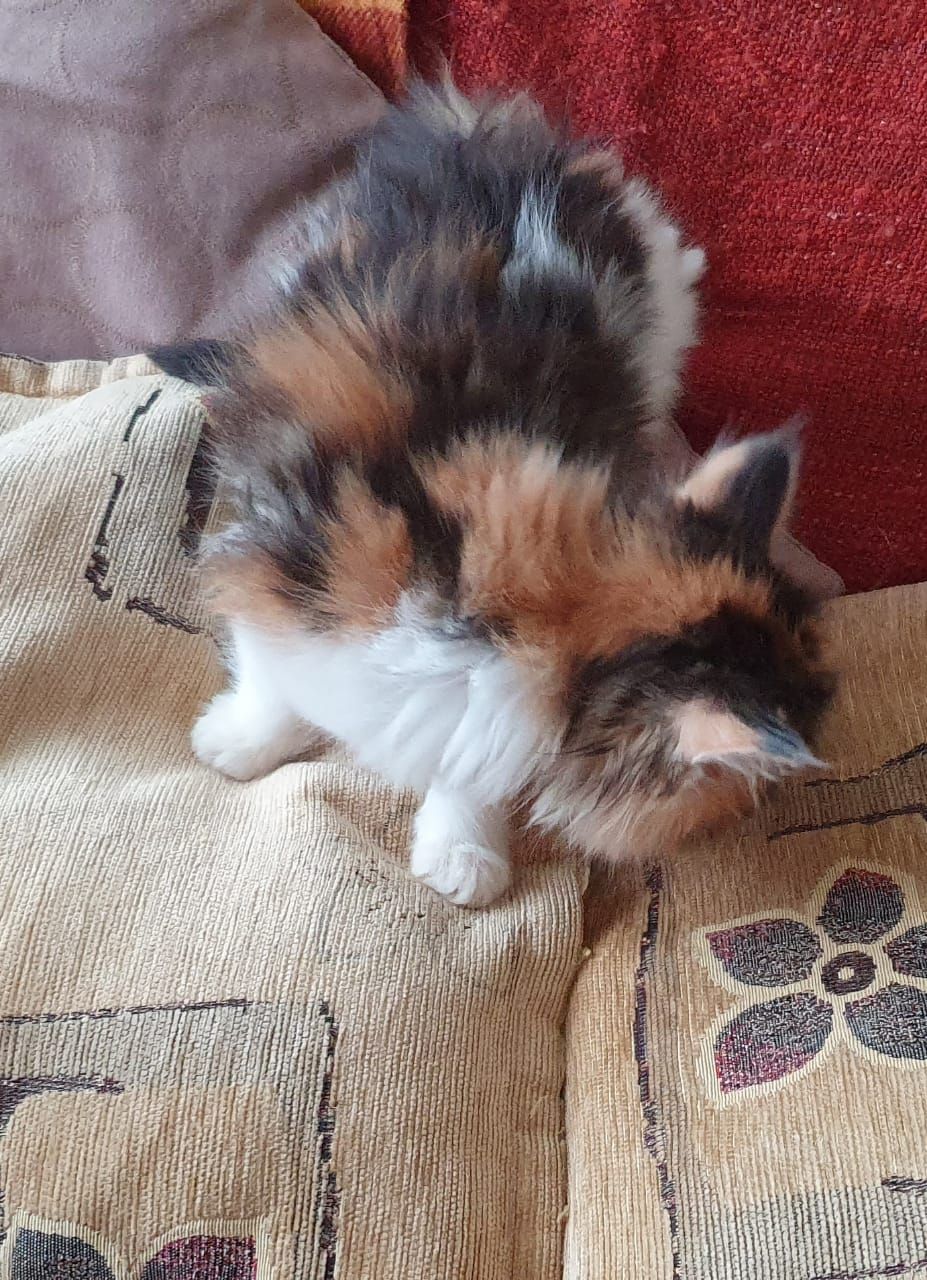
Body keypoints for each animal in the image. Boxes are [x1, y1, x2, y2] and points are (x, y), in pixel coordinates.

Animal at [153, 79, 834, 907]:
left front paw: (462, 856)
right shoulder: (279, 558)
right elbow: (270, 672)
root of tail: (490, 145)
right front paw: (239, 742)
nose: (769, 798)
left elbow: (462, 768)